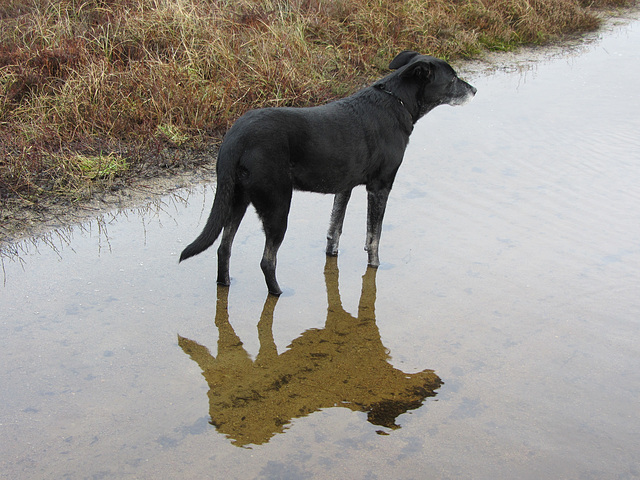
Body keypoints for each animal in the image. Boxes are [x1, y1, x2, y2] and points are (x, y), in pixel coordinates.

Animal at [180, 50, 476, 294]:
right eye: (453, 79)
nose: (474, 90)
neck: (396, 101)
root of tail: (236, 137)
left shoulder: (344, 187)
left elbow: (335, 230)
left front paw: (333, 257)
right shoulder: (380, 186)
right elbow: (374, 237)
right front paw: (376, 267)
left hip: (237, 199)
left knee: (223, 249)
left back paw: (225, 284)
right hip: (277, 204)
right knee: (266, 261)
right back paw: (278, 293)